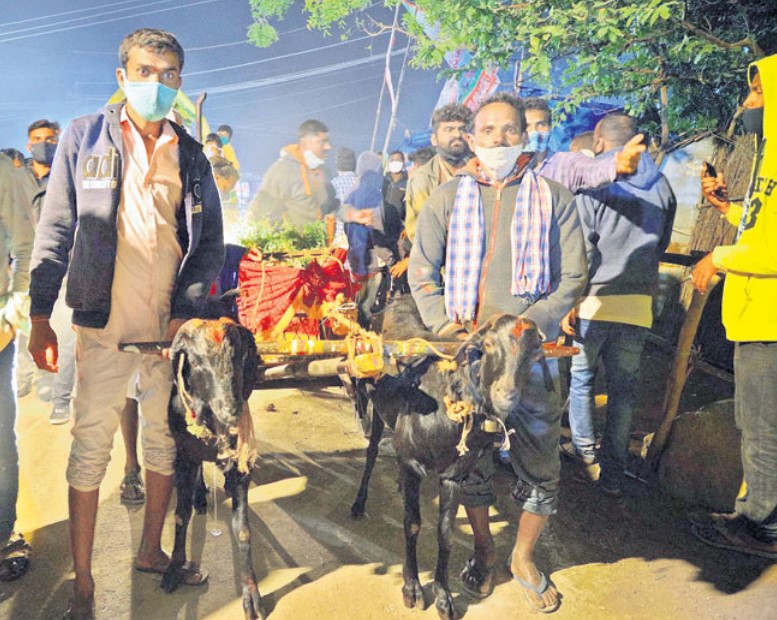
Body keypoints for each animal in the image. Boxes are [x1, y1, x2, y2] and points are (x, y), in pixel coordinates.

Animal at [164, 320, 266, 620]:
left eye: (241, 357)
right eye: (197, 362)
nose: (231, 410)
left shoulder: (239, 465)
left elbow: (242, 528)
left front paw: (251, 594)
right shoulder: (183, 457)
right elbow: (180, 516)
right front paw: (173, 570)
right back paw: (199, 497)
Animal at [352, 298, 544, 616]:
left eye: (535, 353)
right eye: (488, 344)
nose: (507, 396)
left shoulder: (454, 474)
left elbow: (446, 533)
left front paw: (443, 597)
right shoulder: (412, 463)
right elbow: (412, 523)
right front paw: (412, 589)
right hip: (374, 405)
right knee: (371, 451)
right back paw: (358, 503)